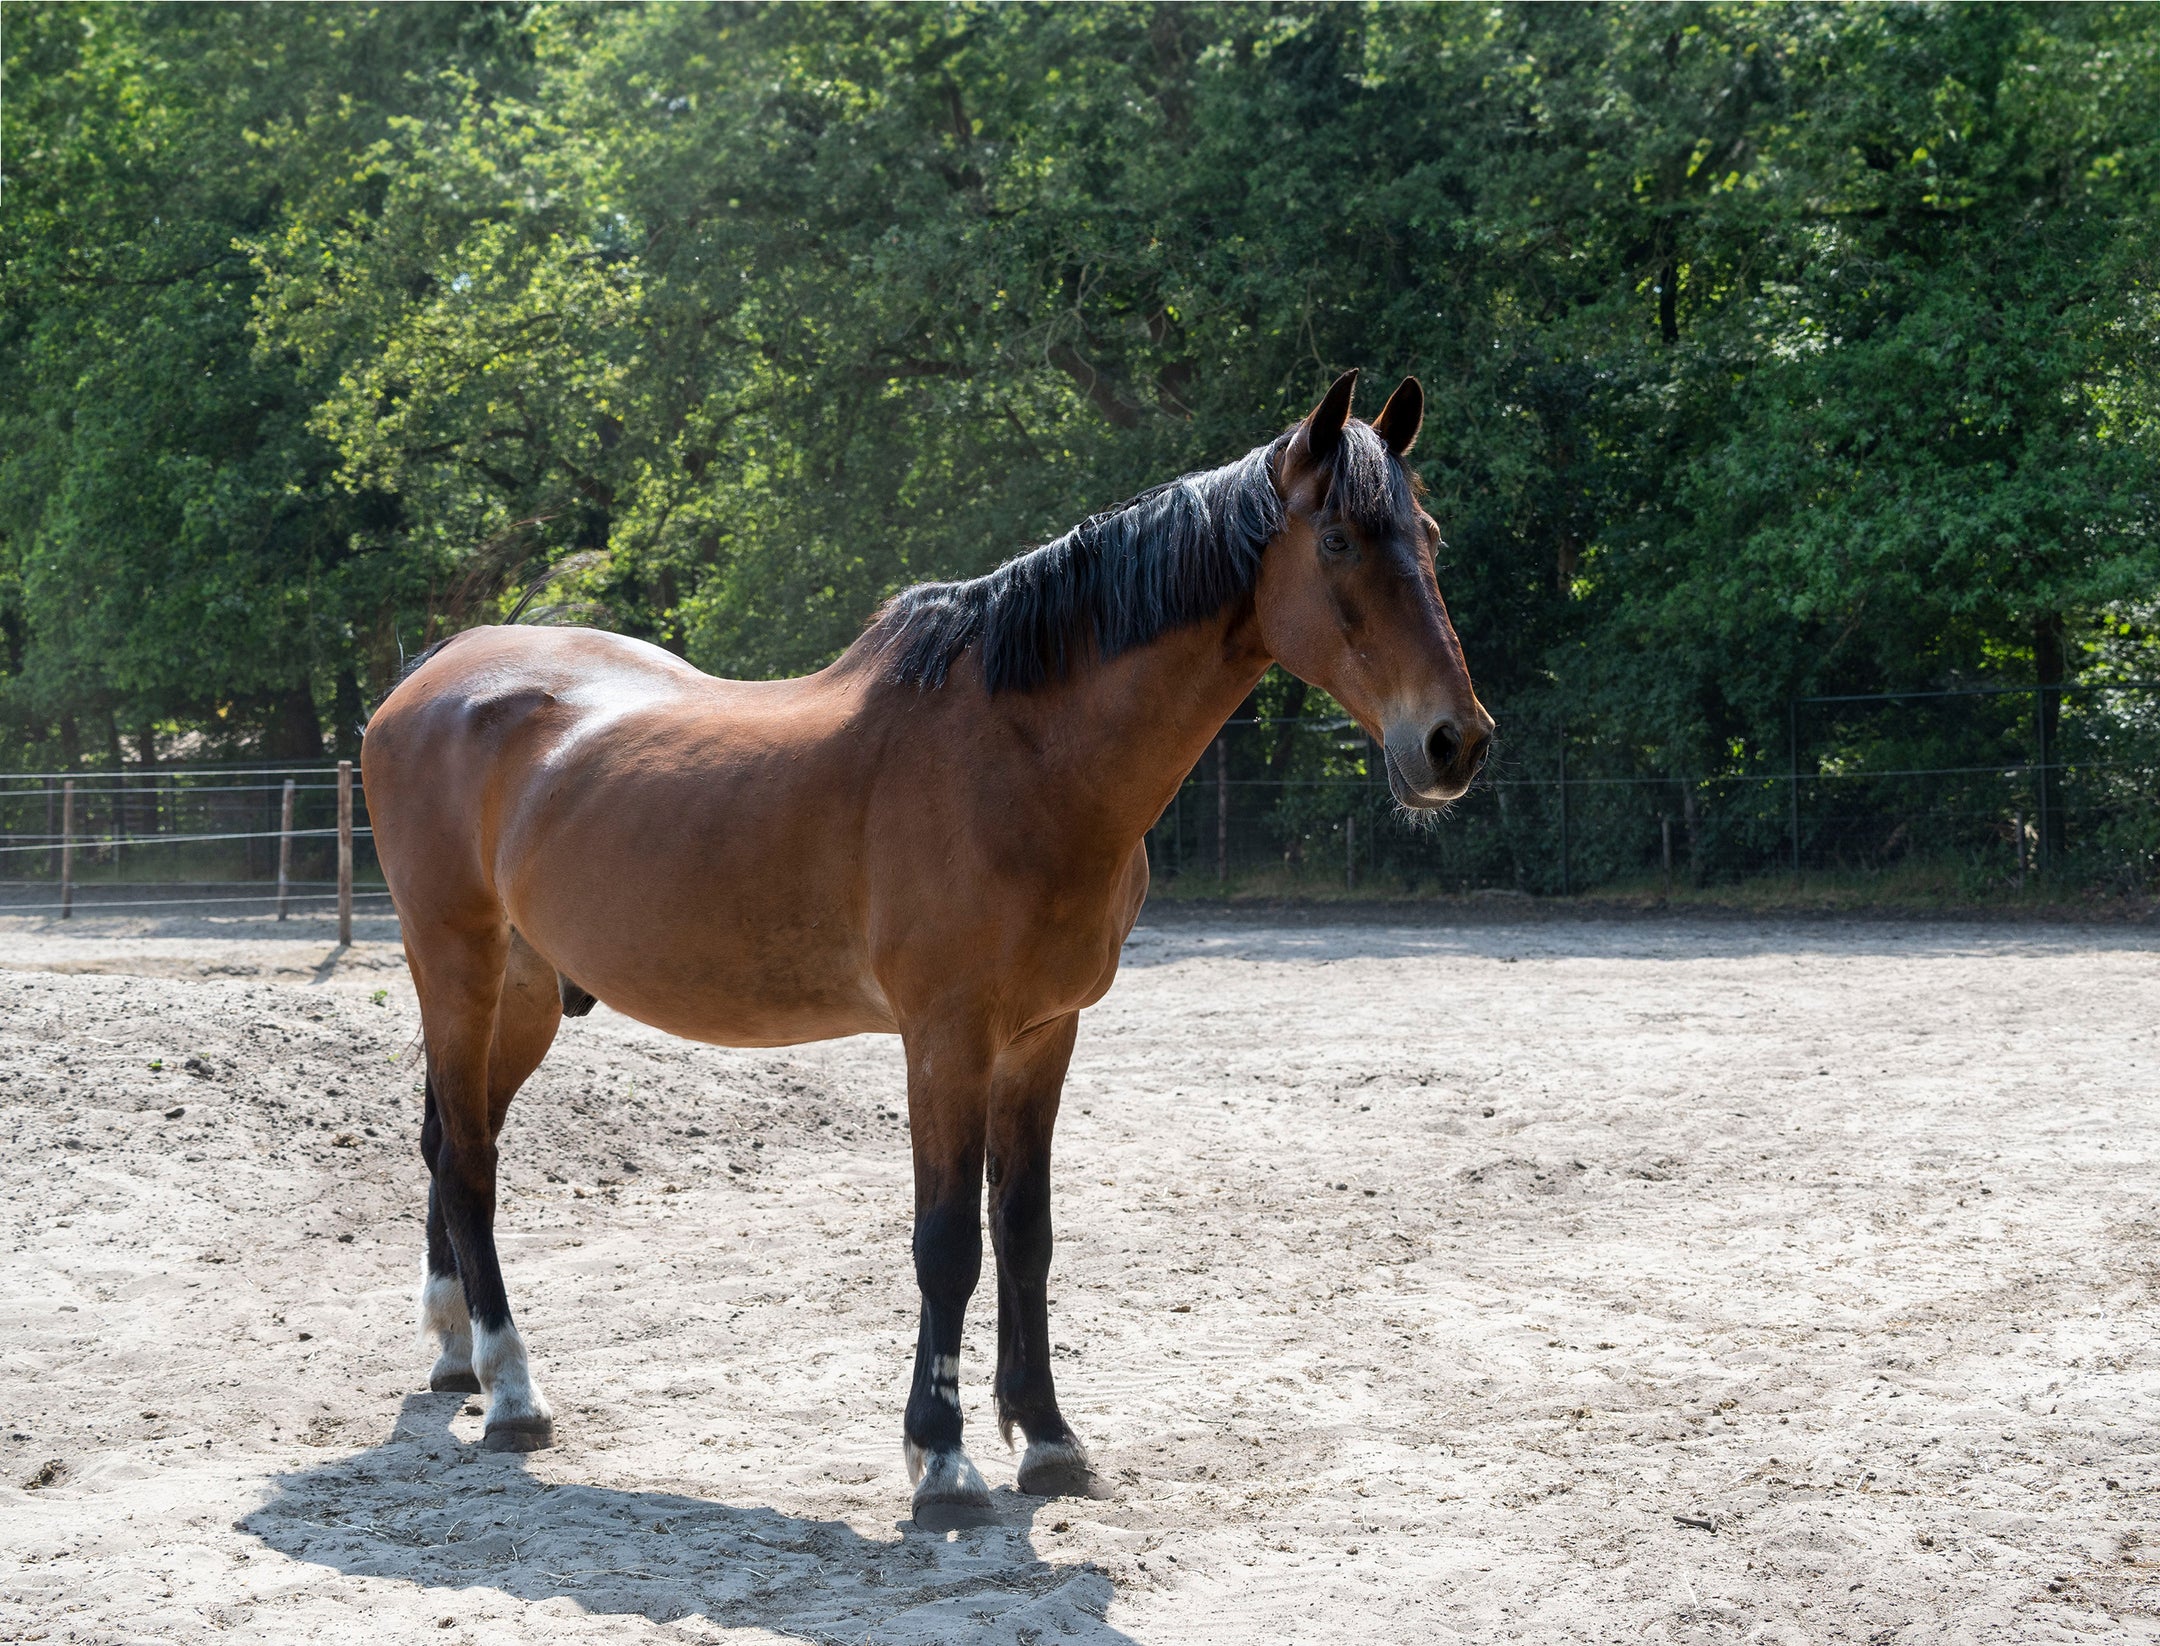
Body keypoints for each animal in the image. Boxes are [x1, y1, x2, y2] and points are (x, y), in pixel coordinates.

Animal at [362, 375, 1494, 1512]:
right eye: (1340, 539)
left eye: (1432, 535)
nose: (1454, 742)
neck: (1021, 759)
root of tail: (434, 675)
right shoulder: (946, 1039)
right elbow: (947, 1240)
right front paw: (941, 1456)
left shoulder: (1042, 1036)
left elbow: (1025, 1232)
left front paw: (1047, 1436)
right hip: (456, 966)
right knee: (469, 1159)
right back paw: (512, 1391)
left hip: (527, 992)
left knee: (451, 1143)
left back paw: (456, 1353)